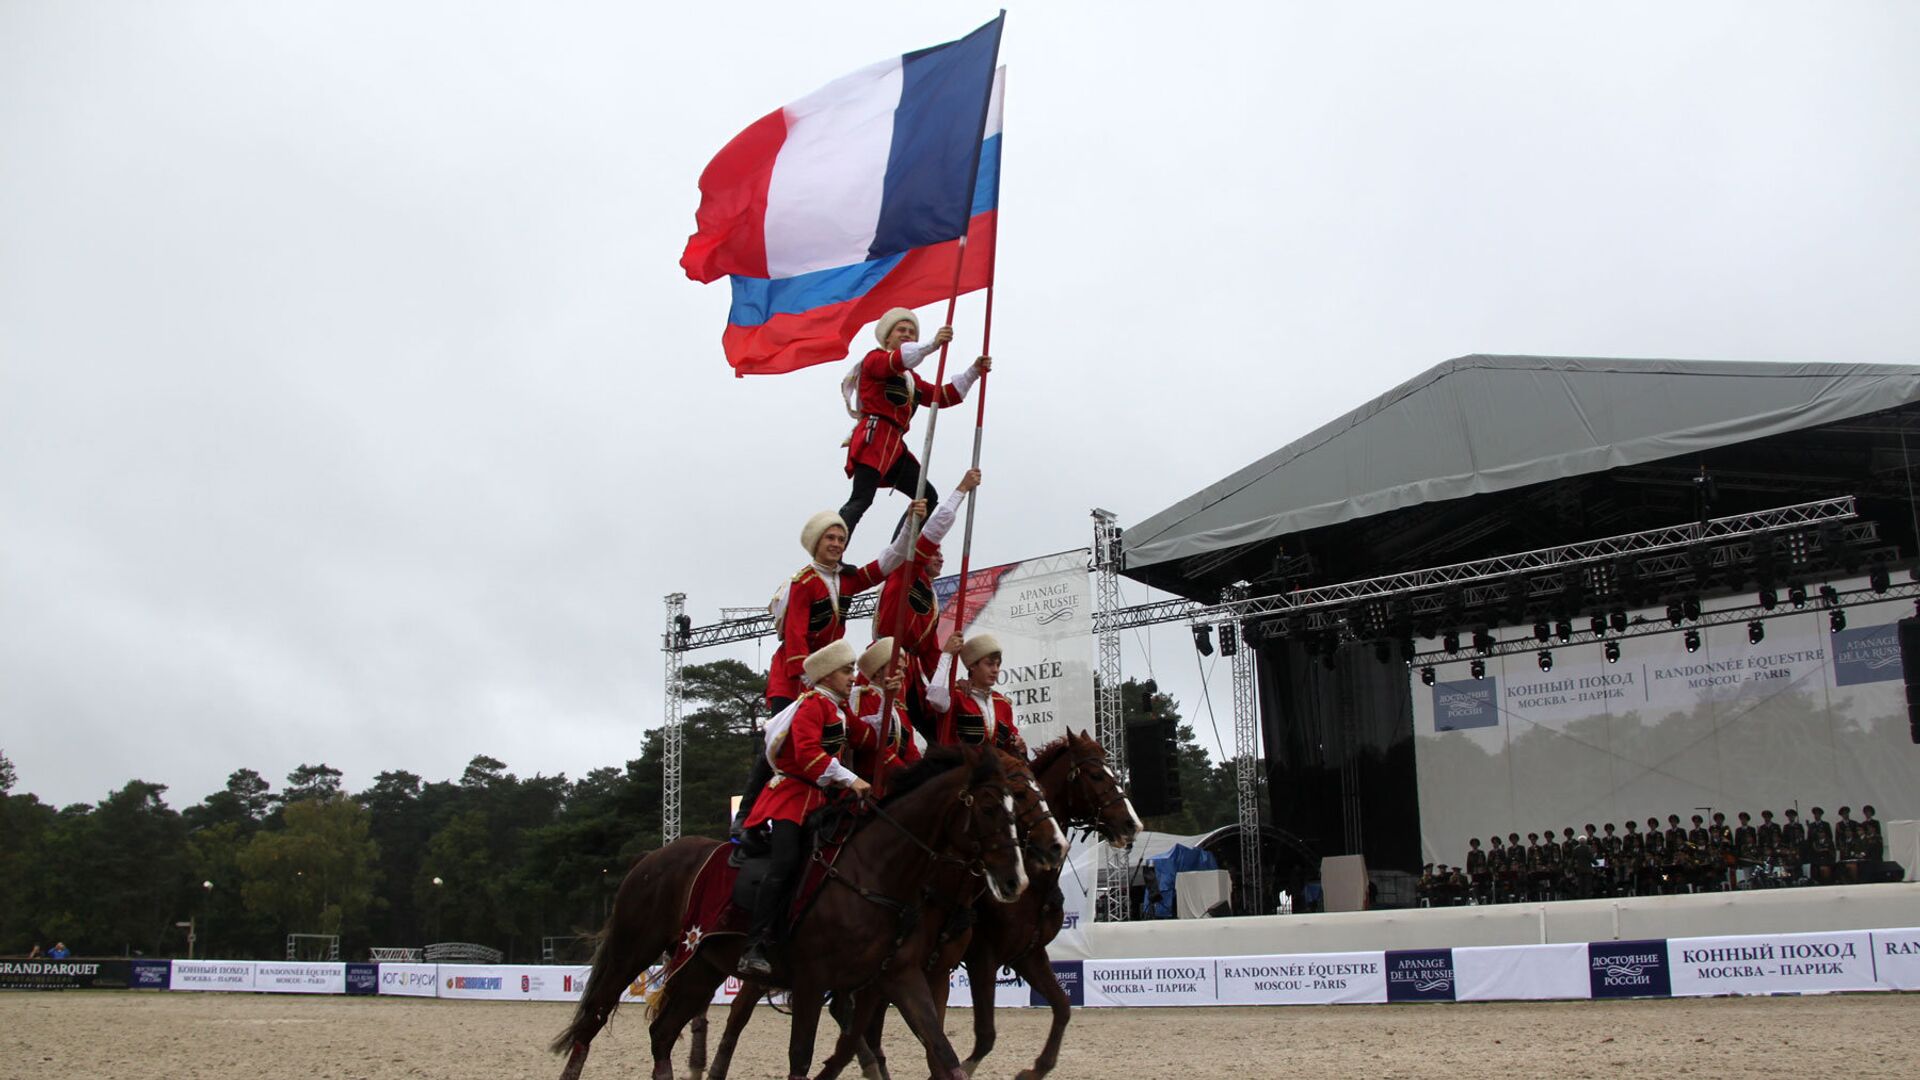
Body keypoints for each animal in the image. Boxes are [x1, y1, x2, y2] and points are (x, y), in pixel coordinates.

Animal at [552, 737, 1029, 1076]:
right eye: (989, 807)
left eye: (1015, 807)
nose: (1015, 880)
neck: (874, 871)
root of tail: (651, 858)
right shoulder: (810, 982)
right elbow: (801, 1058)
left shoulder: (898, 976)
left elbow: (943, 1053)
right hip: (632, 951)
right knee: (592, 1022)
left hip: (700, 965)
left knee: (662, 1034)